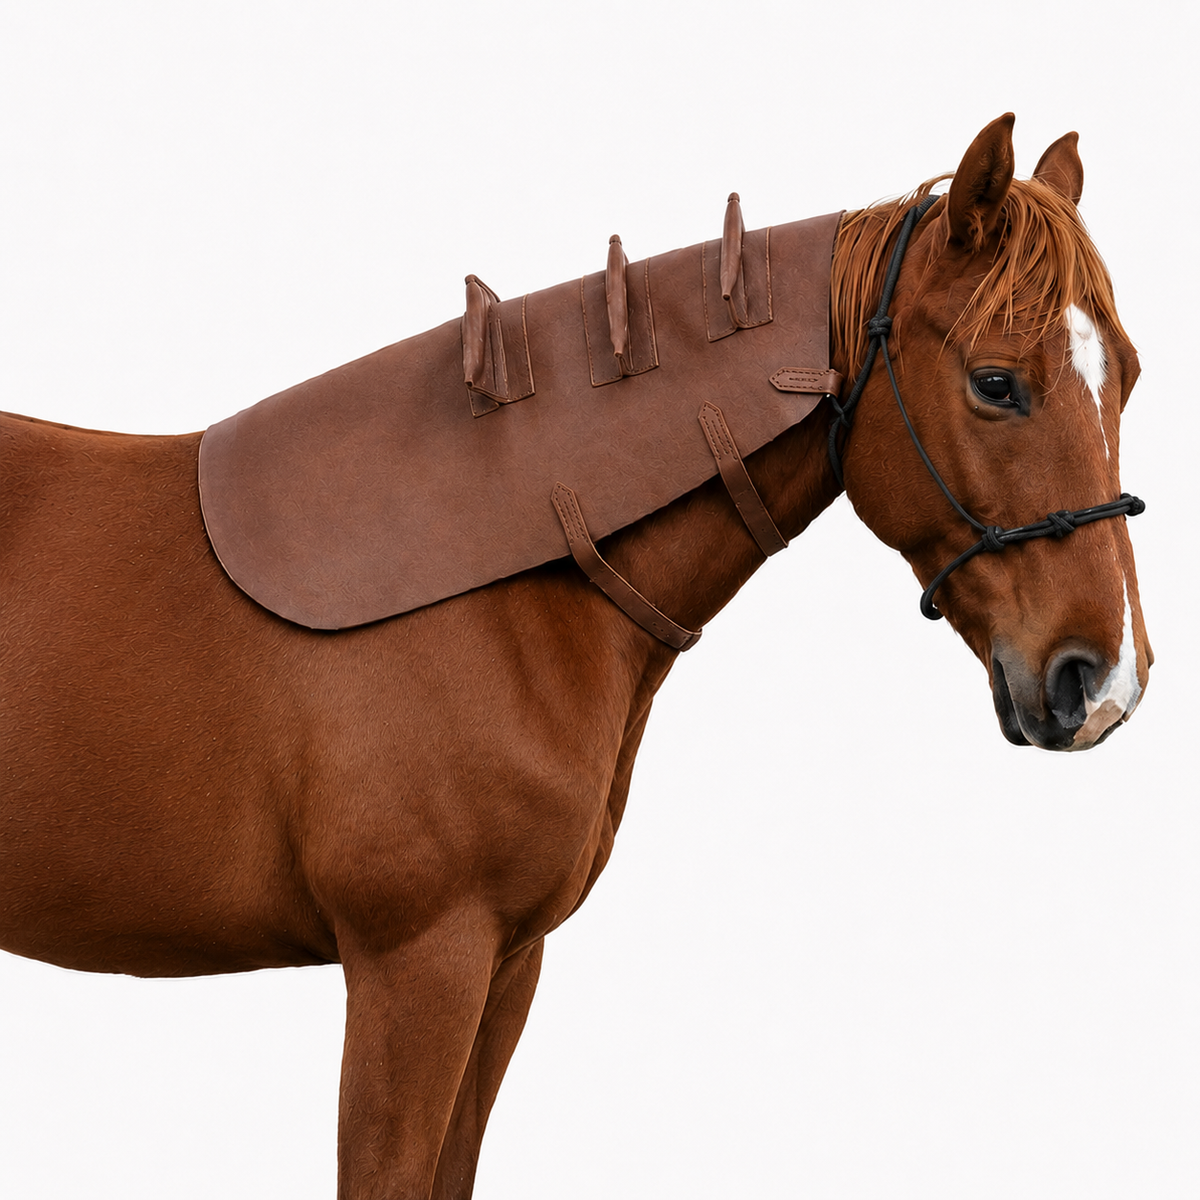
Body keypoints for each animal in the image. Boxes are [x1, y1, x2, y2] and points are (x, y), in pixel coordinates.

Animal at [0, 114, 1150, 1199]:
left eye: (1128, 376)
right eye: (996, 383)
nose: (1101, 682)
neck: (507, 589)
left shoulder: (505, 964)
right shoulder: (416, 964)